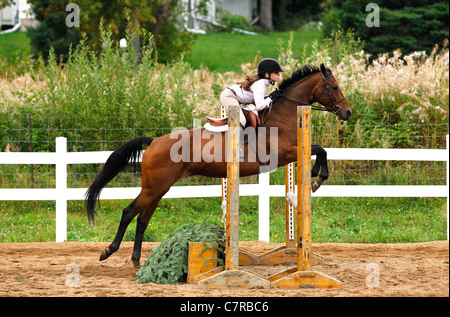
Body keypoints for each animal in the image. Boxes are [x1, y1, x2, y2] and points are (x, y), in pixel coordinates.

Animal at [84, 63, 352, 266]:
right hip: (154, 187)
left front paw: (316, 177)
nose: (347, 113)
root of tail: (153, 142)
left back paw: (136, 260)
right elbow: (320, 150)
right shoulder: (284, 153)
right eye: (334, 87)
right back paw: (109, 250)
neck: (283, 115)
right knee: (129, 212)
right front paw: (317, 177)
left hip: (160, 188)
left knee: (142, 219)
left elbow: (319, 150)